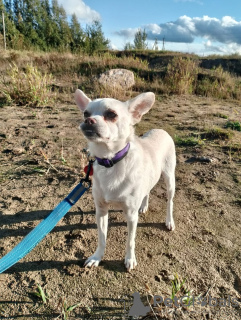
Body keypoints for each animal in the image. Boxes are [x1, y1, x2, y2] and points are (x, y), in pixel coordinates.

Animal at [74, 89, 176, 270]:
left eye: (111, 114)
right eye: (85, 113)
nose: (88, 120)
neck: (110, 161)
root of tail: (160, 129)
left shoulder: (131, 216)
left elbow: (130, 241)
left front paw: (129, 259)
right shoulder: (101, 210)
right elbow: (101, 238)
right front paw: (97, 257)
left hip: (170, 179)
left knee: (170, 201)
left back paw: (169, 221)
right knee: (147, 191)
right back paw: (144, 206)